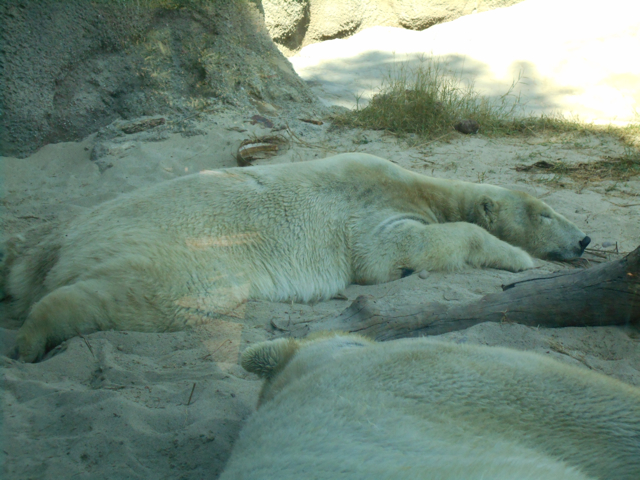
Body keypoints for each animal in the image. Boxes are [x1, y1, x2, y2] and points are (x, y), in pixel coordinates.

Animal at [3, 153, 589, 361]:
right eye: (545, 213)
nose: (585, 239)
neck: (420, 188)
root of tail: (59, 246)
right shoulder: (369, 209)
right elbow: (386, 253)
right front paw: (517, 258)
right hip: (175, 253)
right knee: (160, 297)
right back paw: (31, 339)